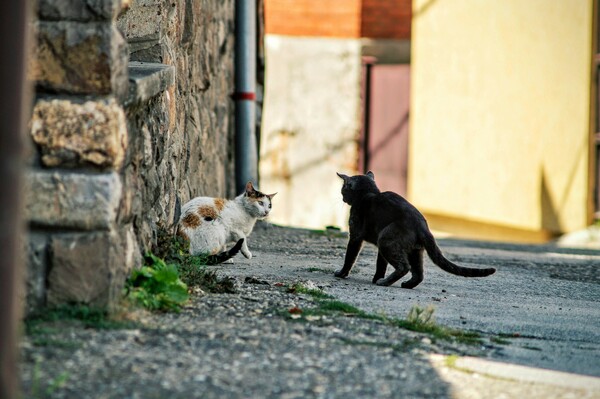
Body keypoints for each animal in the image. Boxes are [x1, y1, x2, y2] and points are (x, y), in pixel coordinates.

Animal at [336, 170, 494, 290]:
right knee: (419, 273)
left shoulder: (355, 236)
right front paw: (376, 278)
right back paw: (406, 284)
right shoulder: (378, 248)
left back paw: (385, 282)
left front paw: (341, 274)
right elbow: (381, 264)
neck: (368, 193)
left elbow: (350, 257)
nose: (342, 197)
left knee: (404, 267)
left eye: (343, 189)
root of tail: (422, 226)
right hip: (415, 251)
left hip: (386, 240)